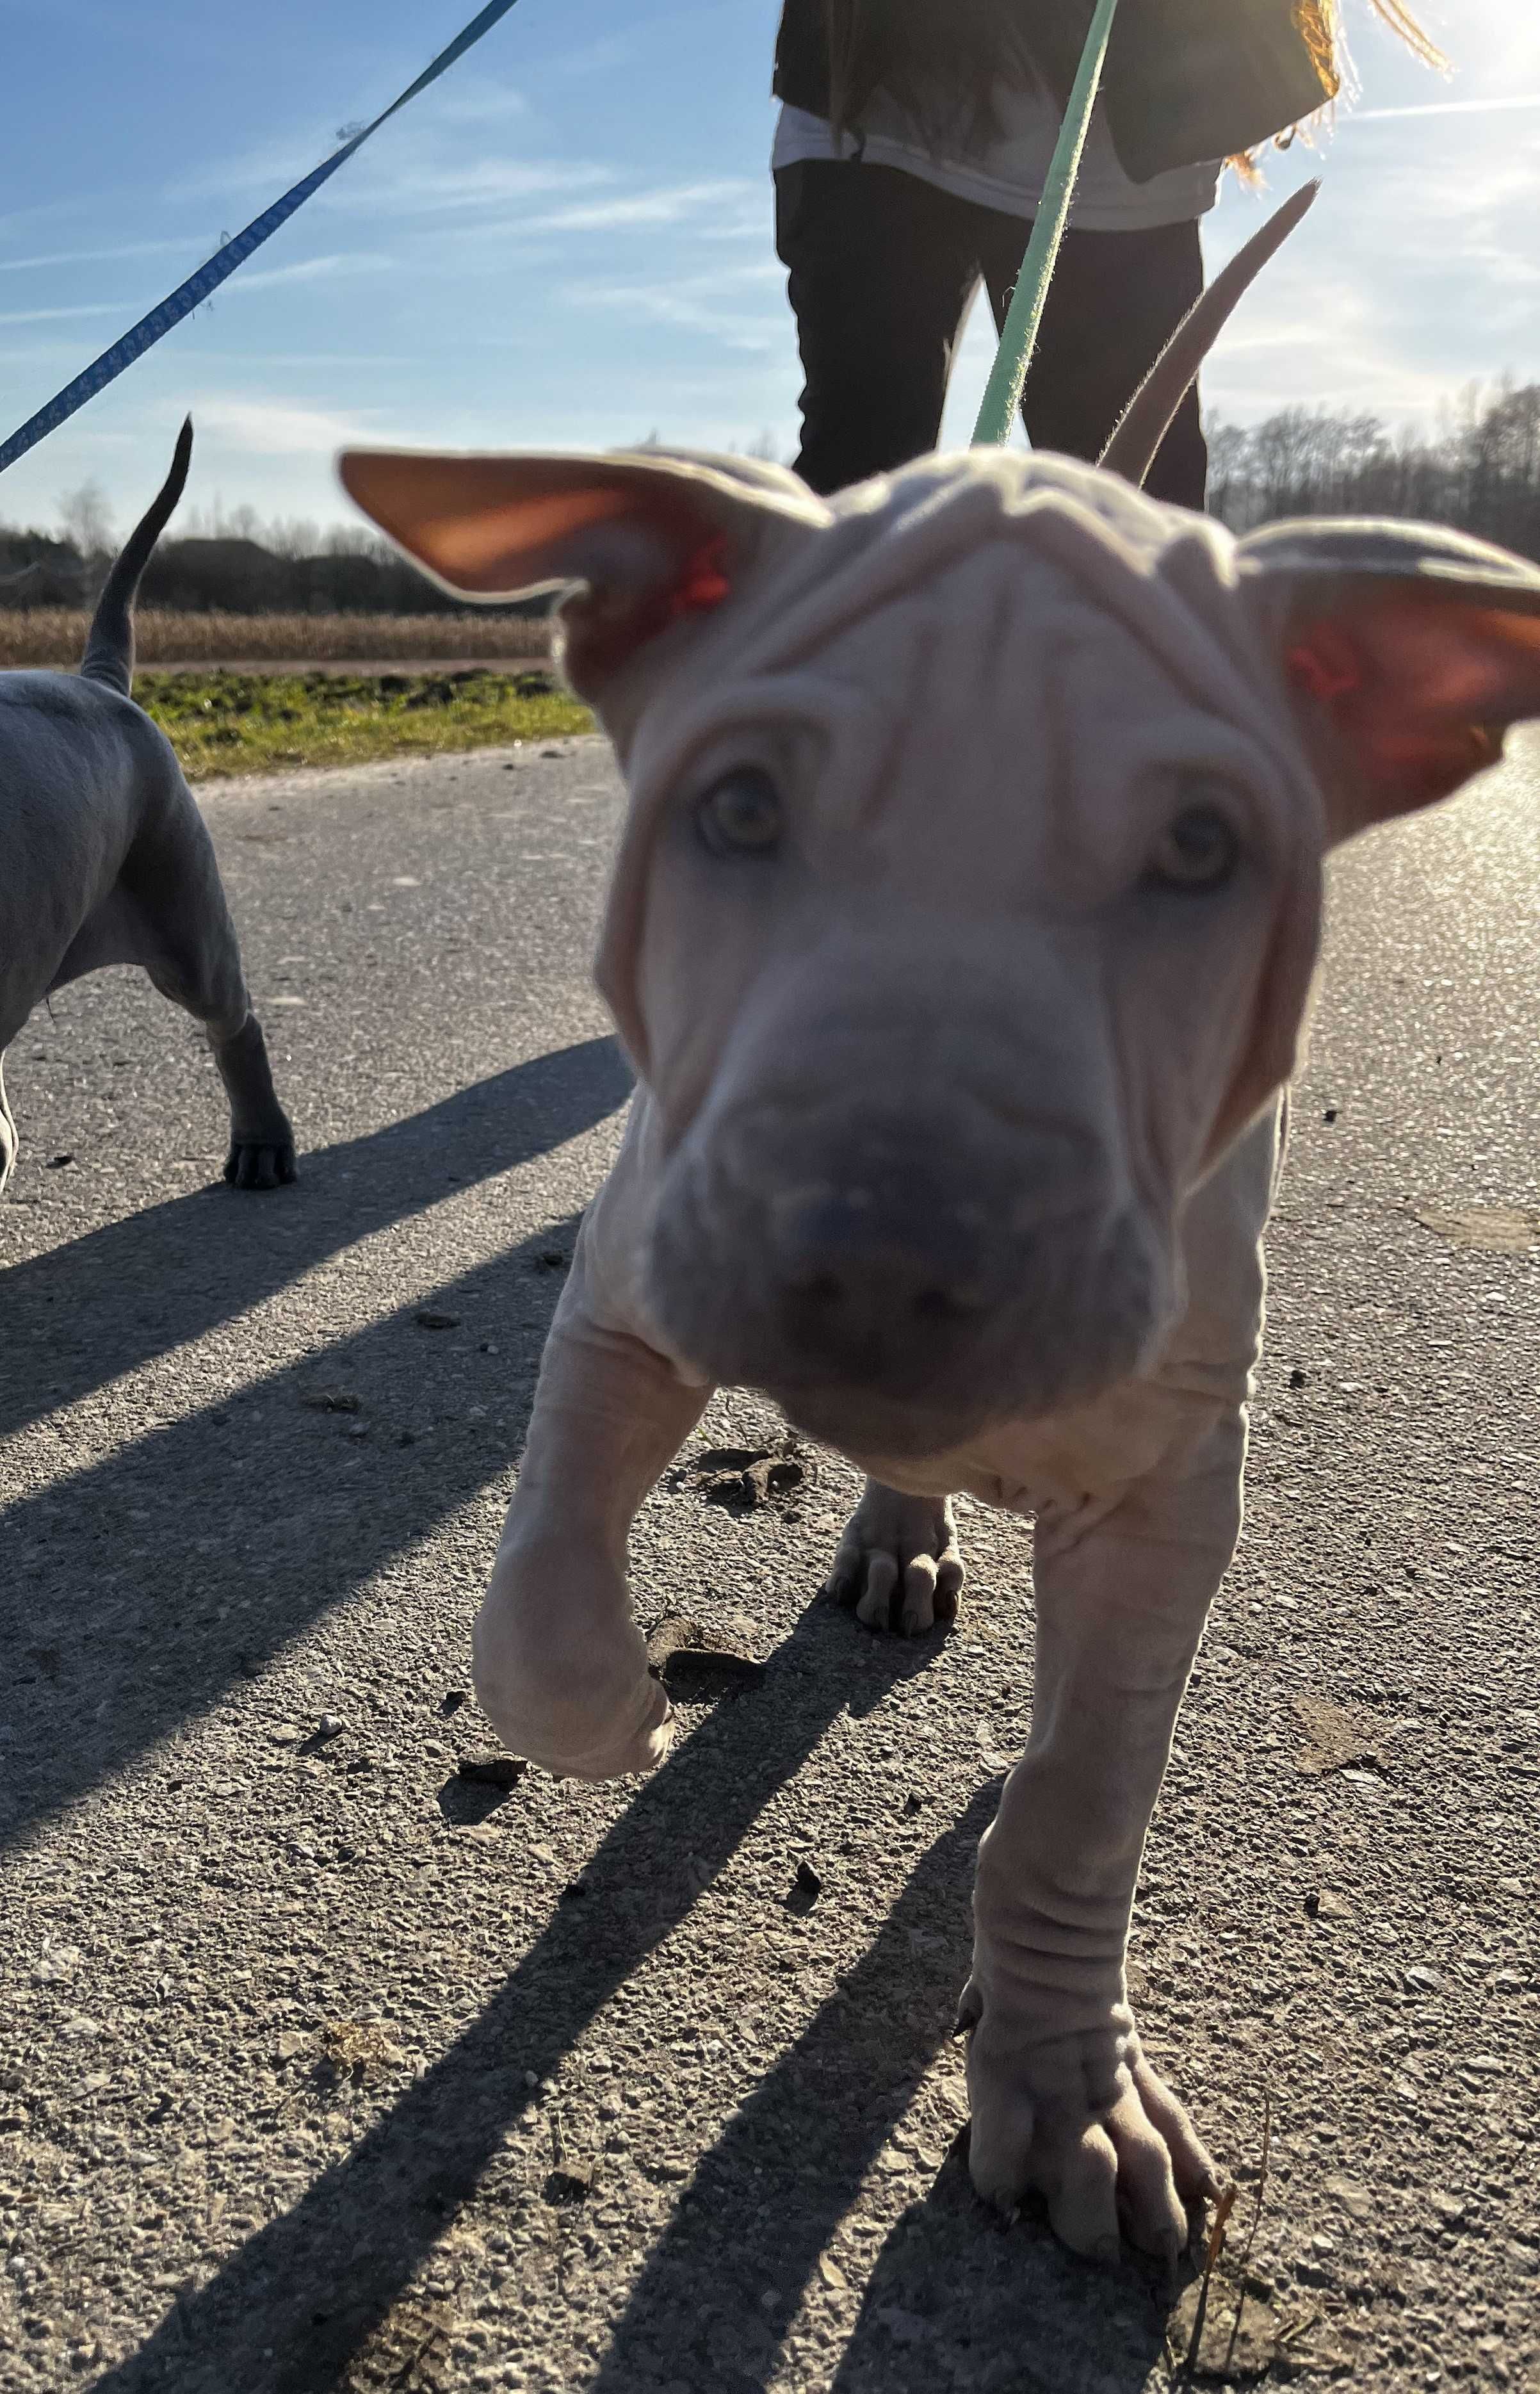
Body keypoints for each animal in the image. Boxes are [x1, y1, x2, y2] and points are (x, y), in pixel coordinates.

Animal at [340, 294, 1540, 2240]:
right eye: (736, 811)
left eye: (1199, 847)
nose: (888, 1262)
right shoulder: (622, 1291)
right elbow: (535, 1594)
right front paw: (617, 1714)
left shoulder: (1170, 1485)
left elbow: (1079, 1794)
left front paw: (1066, 2097)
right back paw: (891, 1537)